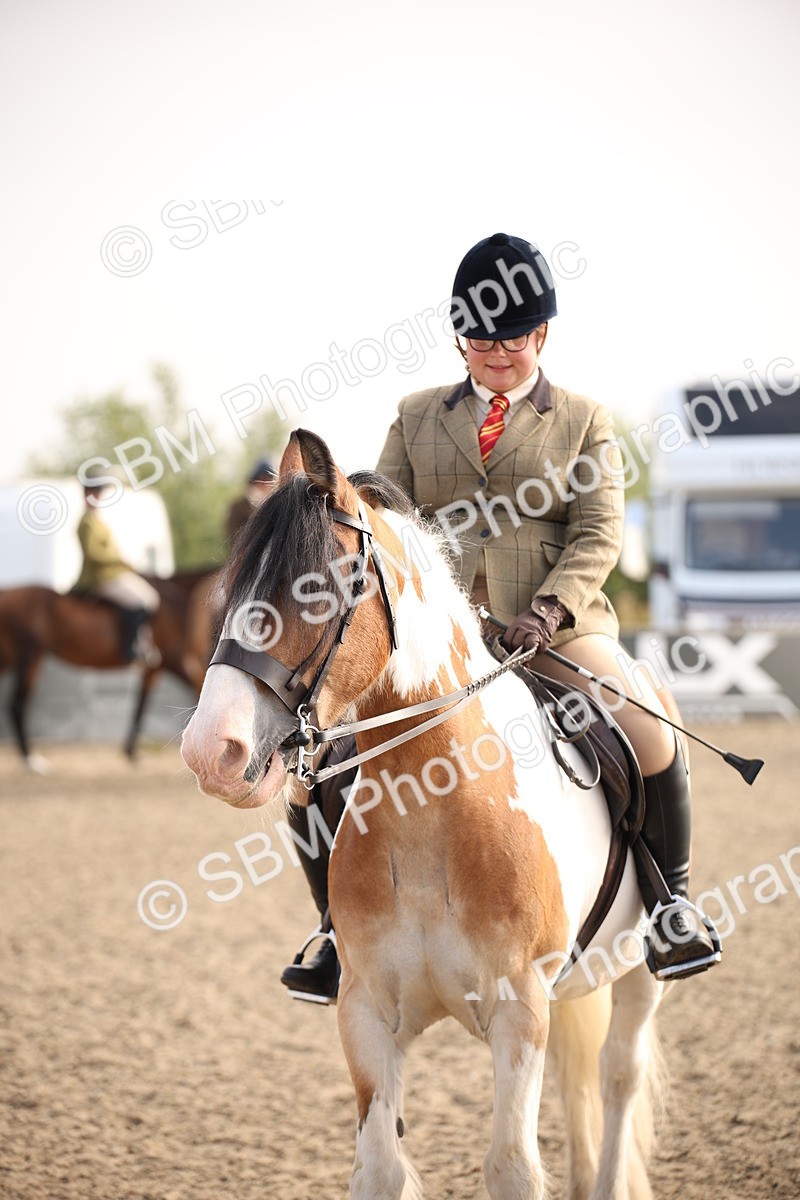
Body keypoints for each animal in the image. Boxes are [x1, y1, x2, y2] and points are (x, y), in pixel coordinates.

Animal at [0, 568, 210, 769]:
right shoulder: (175, 661)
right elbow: (197, 688)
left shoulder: (153, 667)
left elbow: (140, 705)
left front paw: (131, 752)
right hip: (30, 658)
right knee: (17, 706)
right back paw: (30, 759)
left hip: (12, 659)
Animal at [181, 429, 666, 1200]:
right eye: (234, 589)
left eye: (314, 591)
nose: (210, 752)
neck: (432, 812)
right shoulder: (367, 1013)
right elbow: (380, 1167)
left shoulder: (520, 1011)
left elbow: (511, 1166)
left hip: (643, 972)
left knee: (620, 1075)